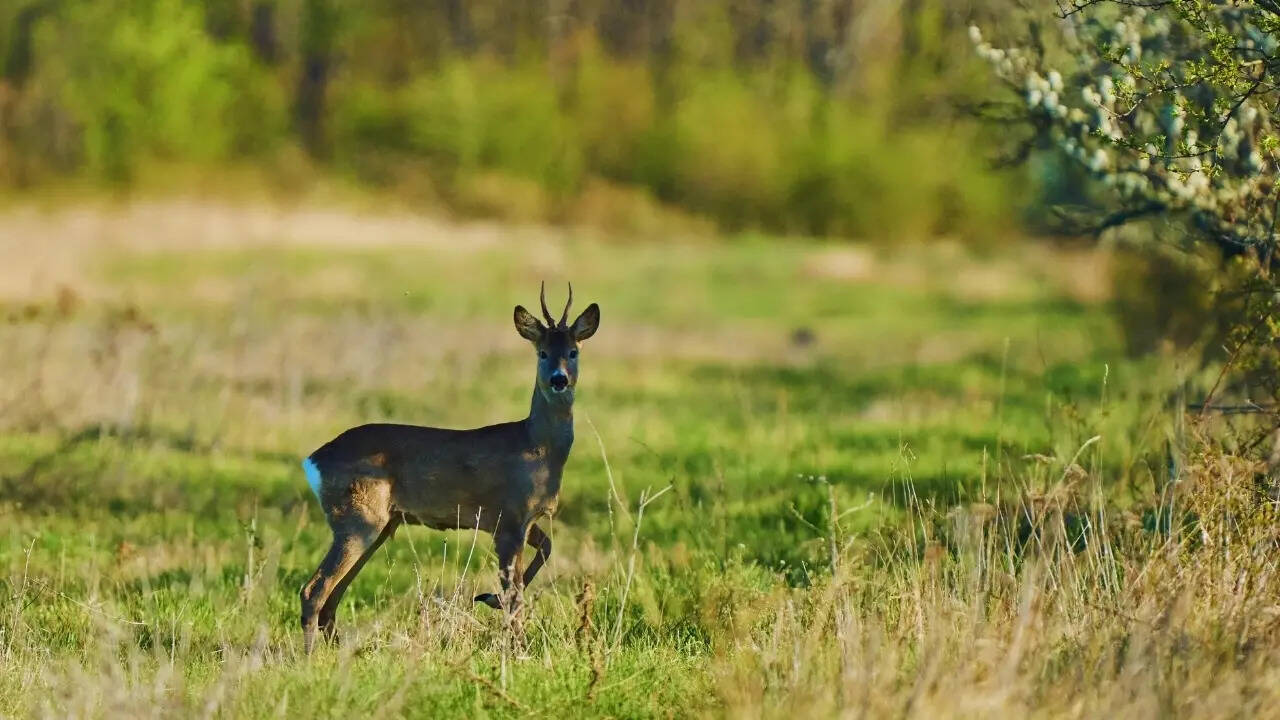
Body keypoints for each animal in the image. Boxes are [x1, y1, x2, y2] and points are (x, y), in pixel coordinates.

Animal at [298, 283, 600, 653]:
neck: (537, 447)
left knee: (333, 594)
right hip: (358, 517)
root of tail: (314, 460)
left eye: (572, 352)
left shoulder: (523, 519)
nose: (559, 379)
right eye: (542, 353)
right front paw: (517, 647)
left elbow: (546, 550)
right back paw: (311, 658)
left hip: (379, 523)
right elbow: (514, 592)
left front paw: (491, 602)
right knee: (314, 589)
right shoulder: (508, 517)